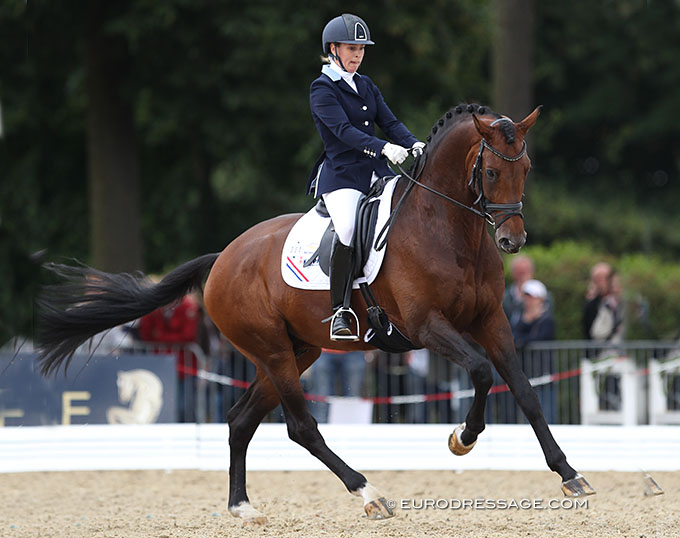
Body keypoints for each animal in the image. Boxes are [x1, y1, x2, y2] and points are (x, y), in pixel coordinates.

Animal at [36, 103, 595, 525]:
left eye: (527, 169)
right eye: (492, 171)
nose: (512, 241)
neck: (447, 228)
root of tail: (222, 258)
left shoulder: (491, 322)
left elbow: (524, 391)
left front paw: (570, 475)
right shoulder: (426, 326)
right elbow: (480, 372)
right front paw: (463, 438)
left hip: (294, 351)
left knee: (241, 420)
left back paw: (243, 508)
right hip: (274, 352)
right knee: (301, 427)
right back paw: (369, 494)